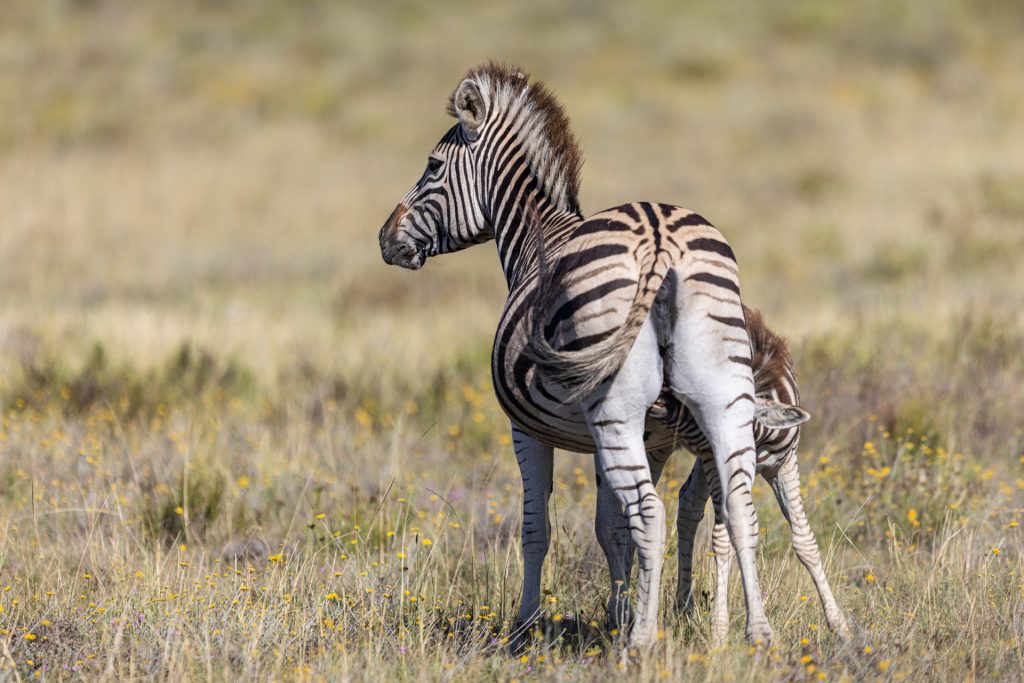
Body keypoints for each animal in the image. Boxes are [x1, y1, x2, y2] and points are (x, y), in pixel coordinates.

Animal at [379, 62, 780, 648]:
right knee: (739, 505)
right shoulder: (643, 437)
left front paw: (526, 626)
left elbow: (537, 527)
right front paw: (619, 610)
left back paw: (643, 643)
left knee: (651, 514)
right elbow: (610, 527)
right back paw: (756, 635)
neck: (536, 238)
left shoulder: (527, 430)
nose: (385, 240)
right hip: (723, 397)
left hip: (615, 408)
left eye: (432, 166)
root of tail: (658, 235)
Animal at [600, 306, 850, 643]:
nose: (653, 398)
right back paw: (626, 607)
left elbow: (804, 541)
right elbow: (723, 541)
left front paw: (839, 625)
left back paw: (681, 608)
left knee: (687, 503)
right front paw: (719, 631)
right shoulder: (718, 465)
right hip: (663, 450)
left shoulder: (785, 464)